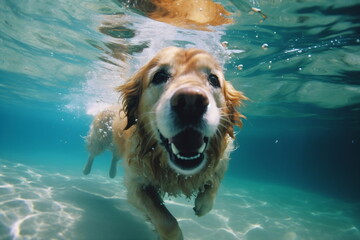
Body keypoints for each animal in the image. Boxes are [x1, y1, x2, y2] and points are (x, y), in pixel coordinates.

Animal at [83, 46, 248, 238]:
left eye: (213, 79)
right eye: (159, 76)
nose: (191, 102)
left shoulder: (220, 161)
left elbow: (213, 183)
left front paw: (203, 203)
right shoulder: (136, 185)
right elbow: (166, 221)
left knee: (115, 156)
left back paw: (111, 172)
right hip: (99, 139)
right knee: (92, 154)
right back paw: (86, 170)